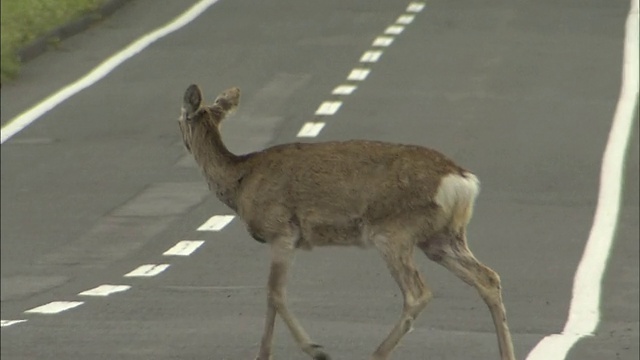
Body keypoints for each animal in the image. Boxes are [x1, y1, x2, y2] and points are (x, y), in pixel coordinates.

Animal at [176, 85, 516, 360]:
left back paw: (376, 354)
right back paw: (506, 353)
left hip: (394, 232)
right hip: (441, 237)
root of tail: (462, 181)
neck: (240, 181)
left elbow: (274, 292)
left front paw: (314, 350)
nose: (181, 141)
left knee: (418, 292)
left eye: (178, 119)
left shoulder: (282, 230)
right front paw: (267, 354)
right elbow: (273, 294)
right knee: (488, 278)